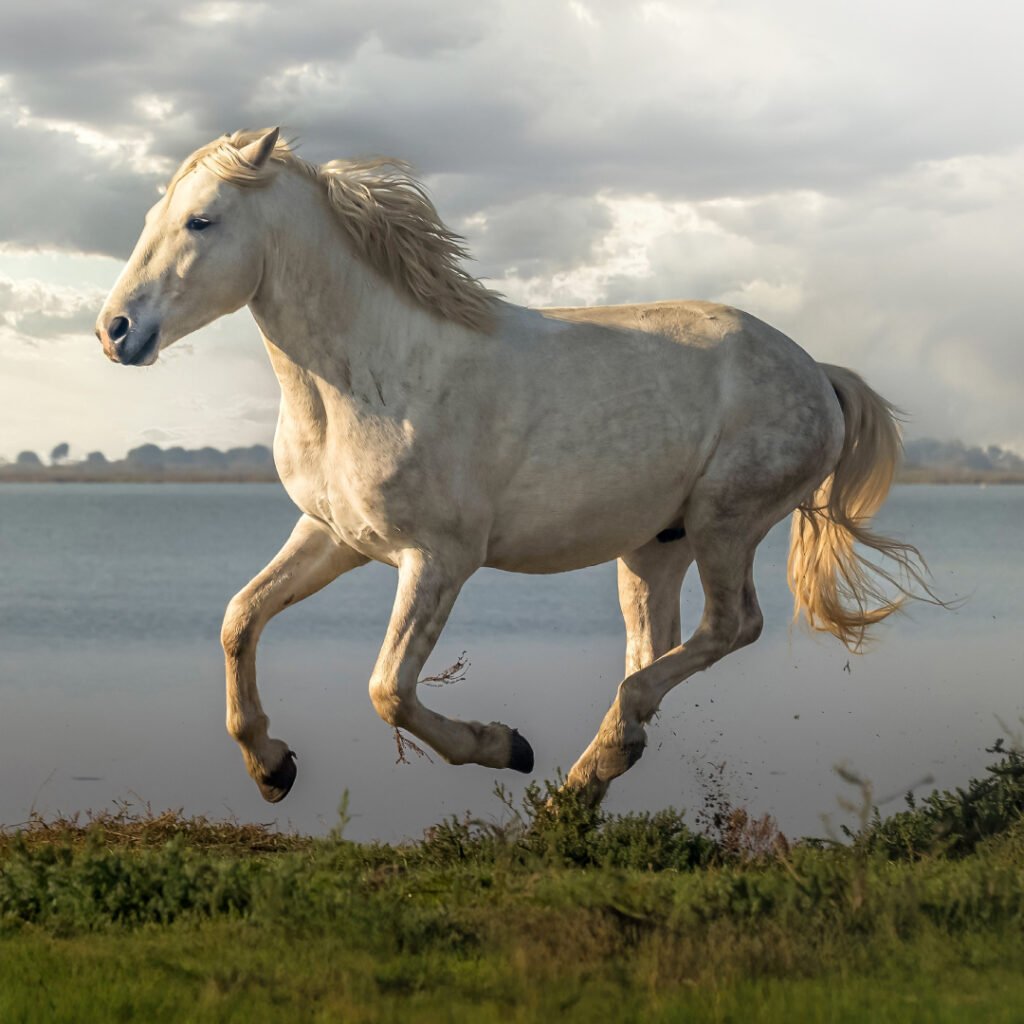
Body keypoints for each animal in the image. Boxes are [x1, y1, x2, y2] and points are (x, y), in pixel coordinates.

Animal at [96, 127, 935, 807]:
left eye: (201, 221)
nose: (115, 331)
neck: (371, 377)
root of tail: (818, 373)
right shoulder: (333, 534)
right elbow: (240, 619)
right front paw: (271, 768)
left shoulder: (438, 559)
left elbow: (388, 690)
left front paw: (506, 746)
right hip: (653, 546)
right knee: (655, 650)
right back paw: (586, 782)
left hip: (725, 523)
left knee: (731, 627)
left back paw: (579, 770)